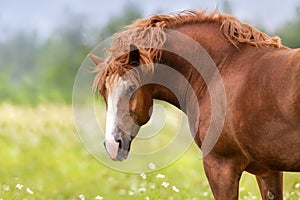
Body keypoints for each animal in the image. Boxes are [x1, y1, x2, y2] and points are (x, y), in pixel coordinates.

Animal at [89, 10, 300, 200]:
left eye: (132, 87)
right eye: (103, 92)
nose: (112, 145)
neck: (221, 68)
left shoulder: (220, 165)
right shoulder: (268, 170)